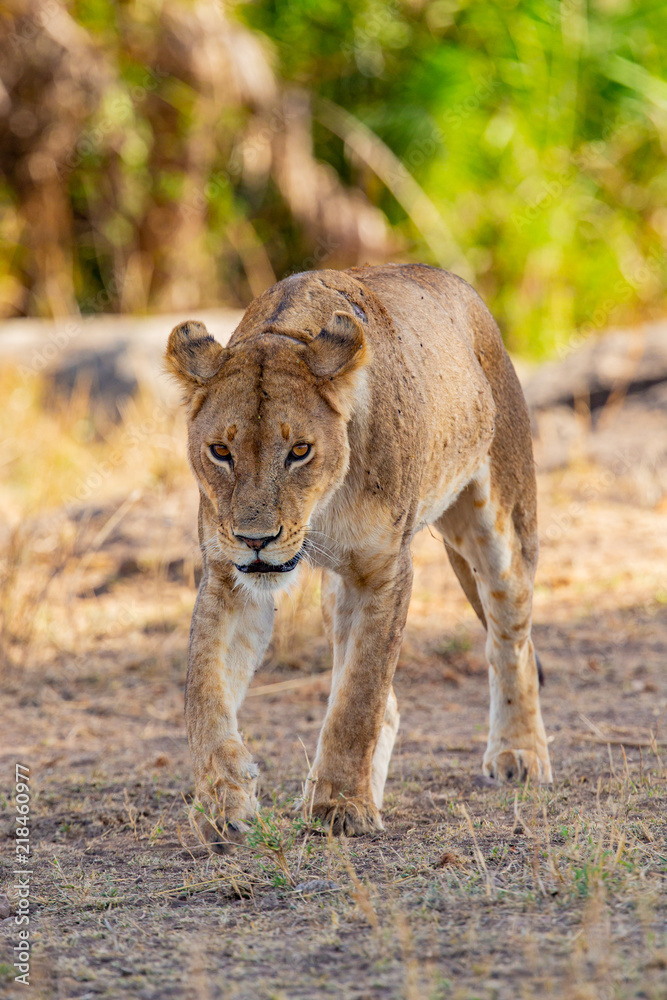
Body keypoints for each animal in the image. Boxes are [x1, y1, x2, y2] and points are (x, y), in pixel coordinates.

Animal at [165, 264, 552, 852]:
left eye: (299, 451)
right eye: (221, 452)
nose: (256, 539)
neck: (322, 506)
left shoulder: (384, 570)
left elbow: (358, 699)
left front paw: (342, 807)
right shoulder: (228, 577)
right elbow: (205, 690)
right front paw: (224, 801)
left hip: (502, 526)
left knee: (513, 641)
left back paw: (519, 752)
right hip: (336, 592)